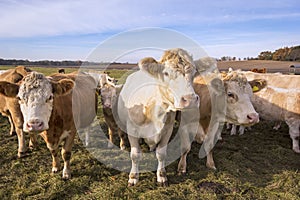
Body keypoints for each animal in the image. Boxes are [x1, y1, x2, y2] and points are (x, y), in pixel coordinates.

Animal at [117, 48, 202, 188]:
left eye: (194, 73)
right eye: (166, 73)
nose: (190, 100)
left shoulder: (167, 129)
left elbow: (161, 154)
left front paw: (162, 176)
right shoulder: (132, 130)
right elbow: (135, 155)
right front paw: (133, 177)